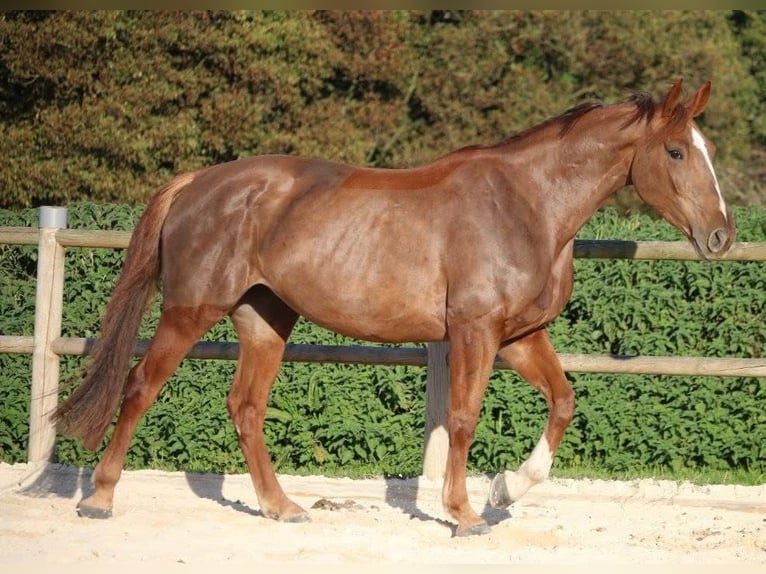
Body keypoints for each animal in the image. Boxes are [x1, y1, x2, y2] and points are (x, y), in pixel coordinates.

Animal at [53, 79, 735, 537]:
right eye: (676, 152)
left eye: (708, 148)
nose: (722, 236)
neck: (526, 206)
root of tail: (199, 182)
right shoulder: (476, 333)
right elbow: (462, 418)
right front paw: (464, 513)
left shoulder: (520, 336)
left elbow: (564, 402)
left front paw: (505, 489)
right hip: (191, 310)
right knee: (140, 387)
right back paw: (99, 499)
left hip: (264, 320)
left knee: (245, 408)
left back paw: (281, 507)